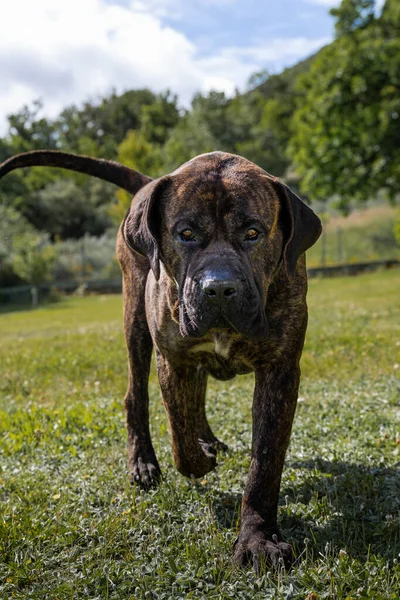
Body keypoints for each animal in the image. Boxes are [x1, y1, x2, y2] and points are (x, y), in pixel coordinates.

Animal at [0, 149, 320, 568]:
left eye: (253, 233)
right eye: (186, 234)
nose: (219, 288)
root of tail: (147, 185)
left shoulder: (279, 371)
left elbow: (265, 462)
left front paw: (258, 538)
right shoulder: (173, 360)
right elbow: (179, 437)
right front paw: (199, 459)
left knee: (197, 397)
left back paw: (207, 439)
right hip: (135, 324)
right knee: (136, 395)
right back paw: (145, 462)